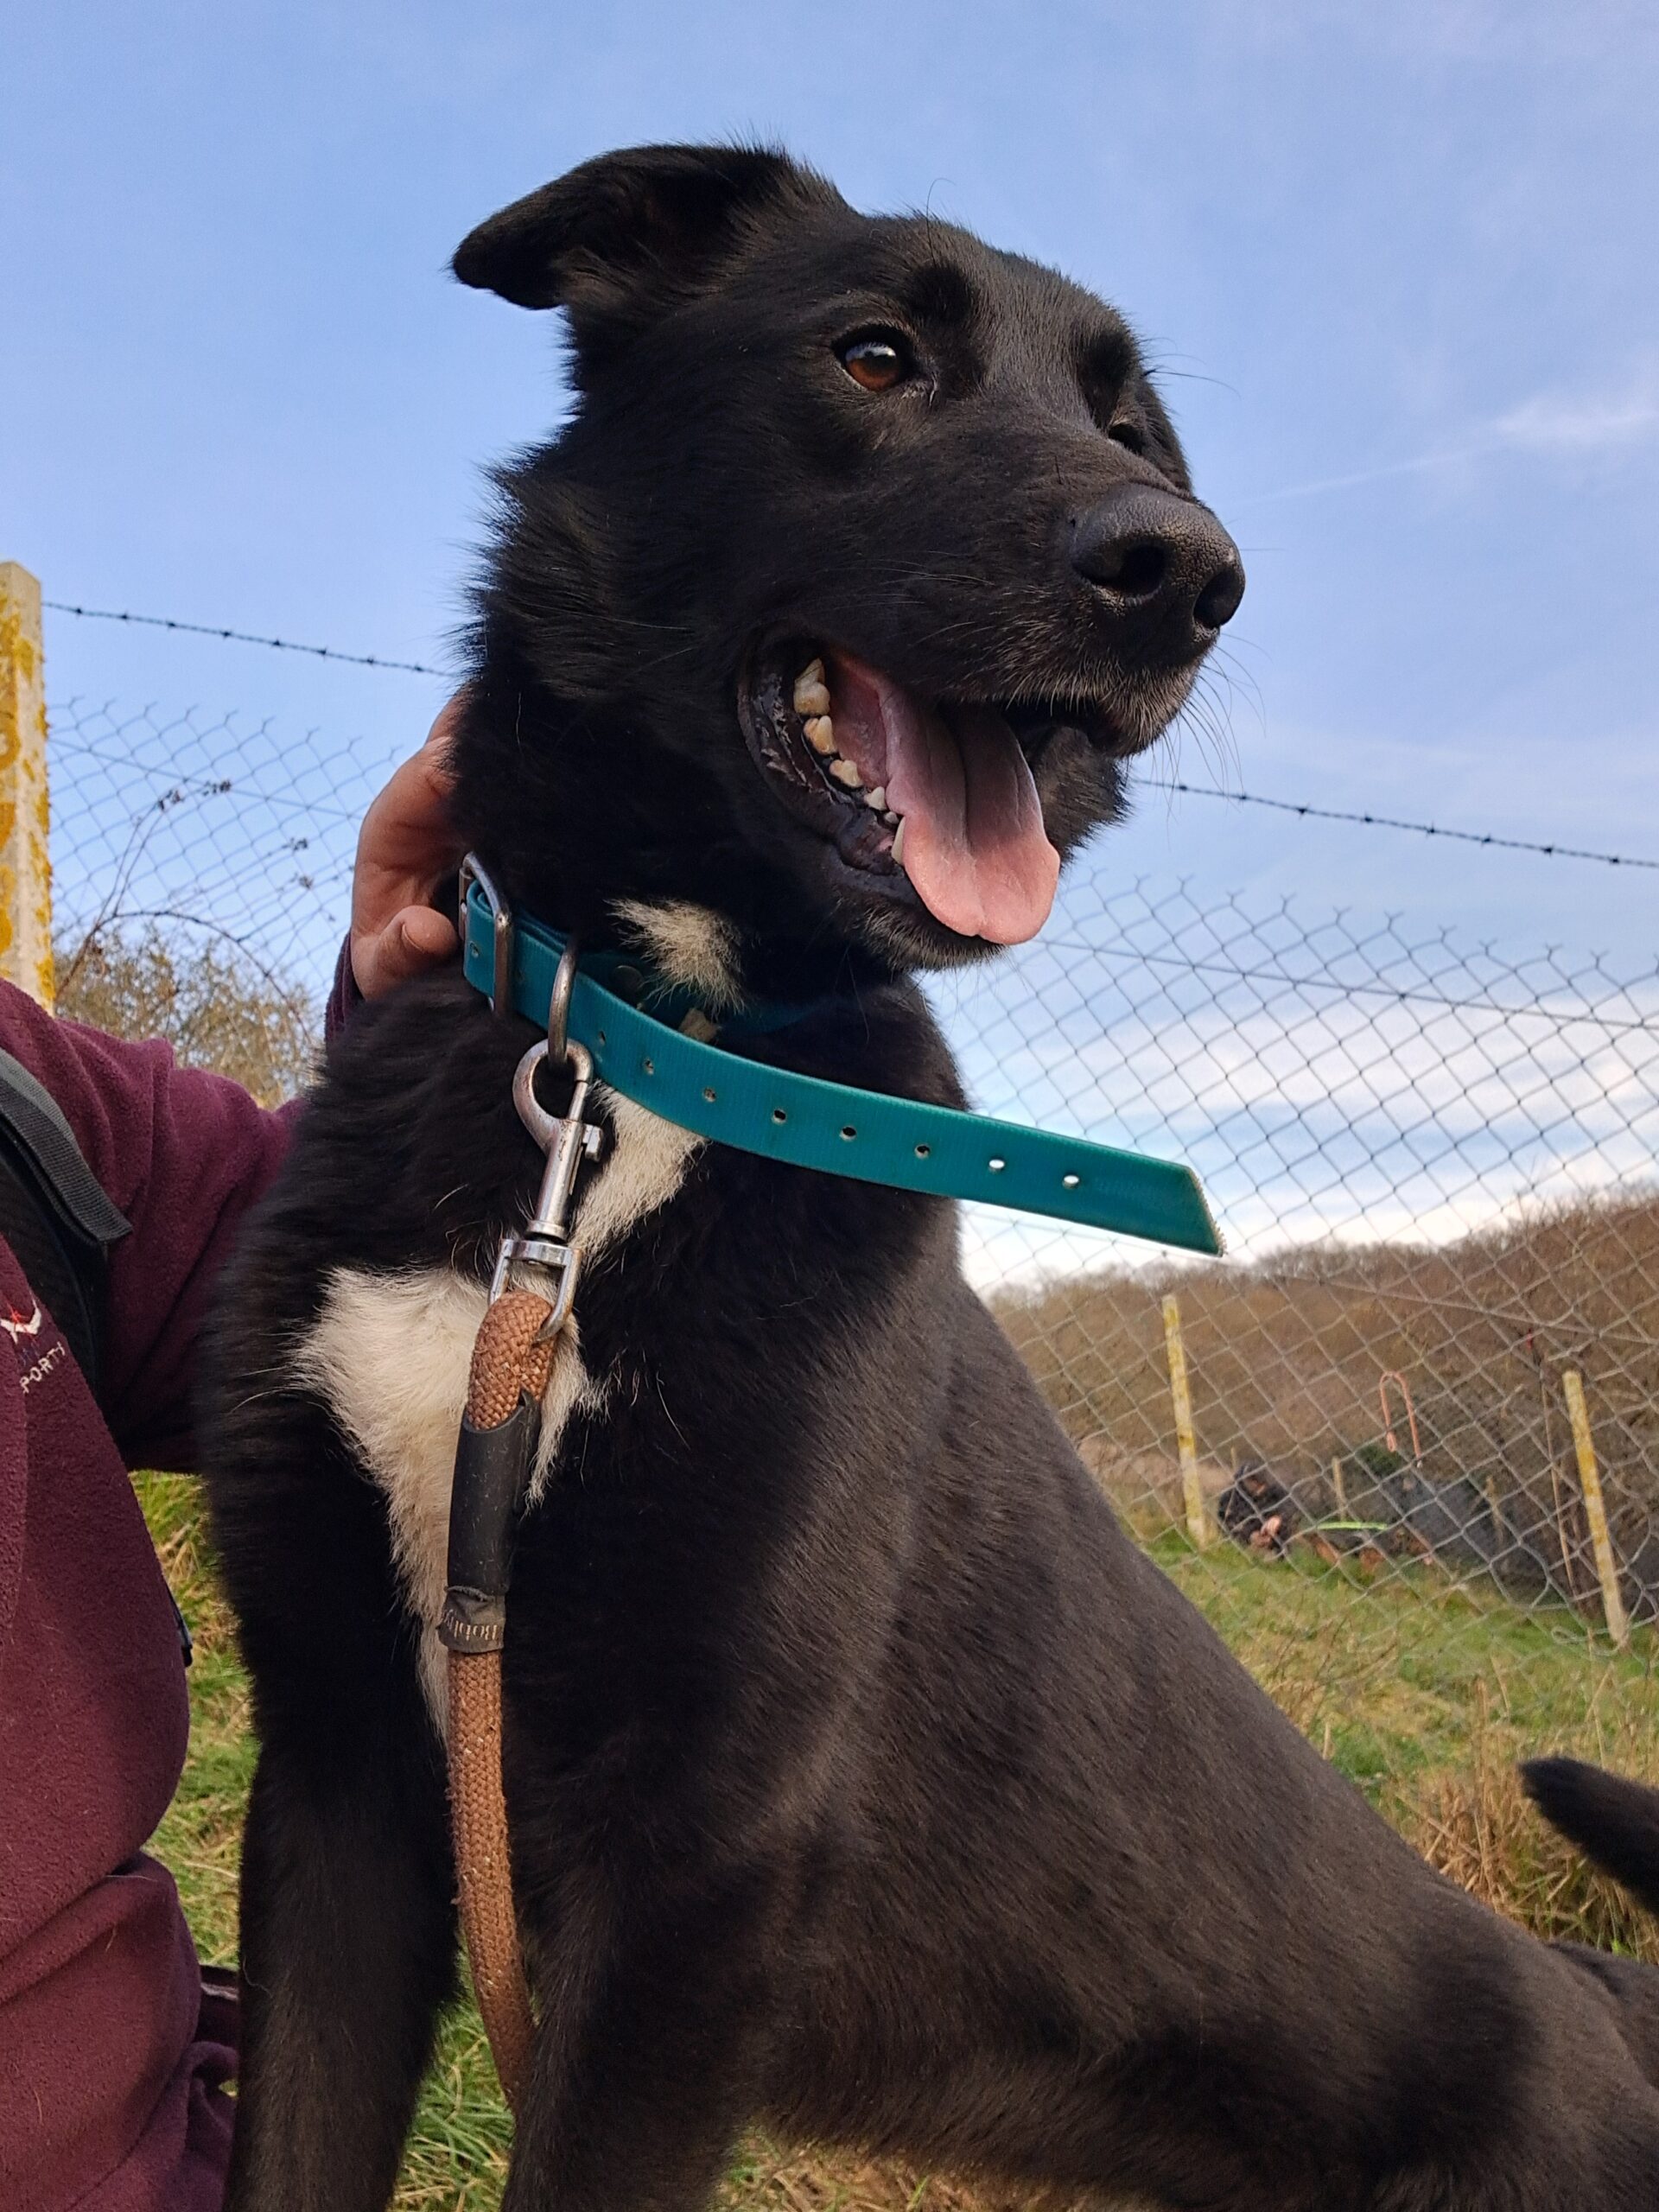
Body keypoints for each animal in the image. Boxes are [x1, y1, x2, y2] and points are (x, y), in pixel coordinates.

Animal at [202, 144, 1659, 2212]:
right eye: (876, 354)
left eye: (1130, 431)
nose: (1186, 573)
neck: (638, 1066)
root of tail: (1592, 1992)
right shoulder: (340, 1783)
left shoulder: (694, 1890)